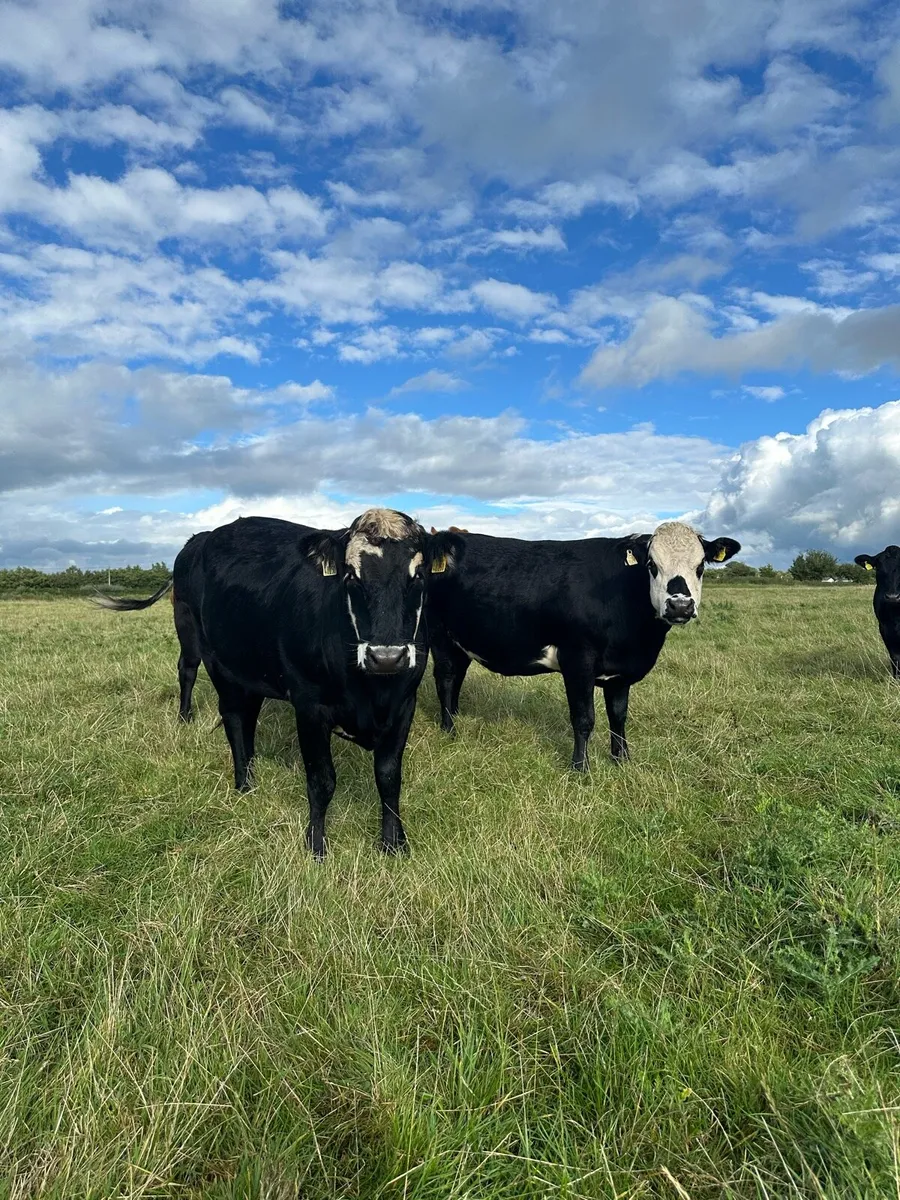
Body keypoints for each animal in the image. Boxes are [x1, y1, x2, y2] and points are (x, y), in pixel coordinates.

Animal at [96, 509, 433, 857]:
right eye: (351, 577)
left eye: (418, 577)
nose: (387, 657)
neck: (371, 691)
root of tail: (200, 538)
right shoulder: (310, 707)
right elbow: (322, 780)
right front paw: (316, 846)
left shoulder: (404, 704)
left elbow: (389, 777)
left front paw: (395, 844)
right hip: (202, 644)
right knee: (214, 698)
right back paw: (226, 764)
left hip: (252, 671)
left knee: (247, 719)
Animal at [426, 521, 740, 771]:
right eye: (652, 565)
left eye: (700, 567)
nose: (680, 605)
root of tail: (447, 538)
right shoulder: (577, 662)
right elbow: (584, 718)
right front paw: (580, 768)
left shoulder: (620, 672)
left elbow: (618, 716)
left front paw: (622, 760)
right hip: (439, 635)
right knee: (446, 678)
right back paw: (449, 729)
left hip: (462, 640)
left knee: (458, 676)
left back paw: (455, 716)